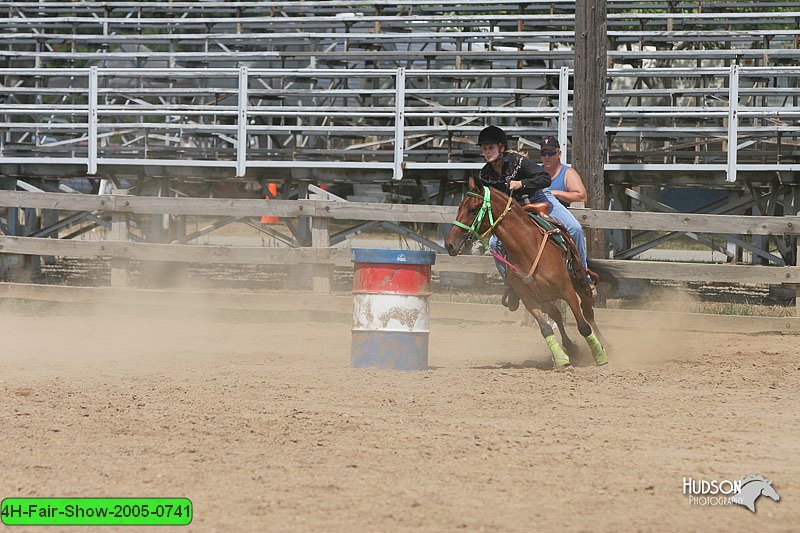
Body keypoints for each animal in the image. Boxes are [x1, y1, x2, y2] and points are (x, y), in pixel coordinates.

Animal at [446, 185, 608, 368]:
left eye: (472, 209)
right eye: (459, 208)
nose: (449, 244)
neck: (528, 248)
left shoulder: (568, 292)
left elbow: (583, 326)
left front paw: (600, 356)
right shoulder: (528, 298)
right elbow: (545, 329)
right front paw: (561, 358)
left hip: (580, 286)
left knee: (588, 314)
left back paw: (604, 345)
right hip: (544, 296)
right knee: (556, 315)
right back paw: (570, 347)